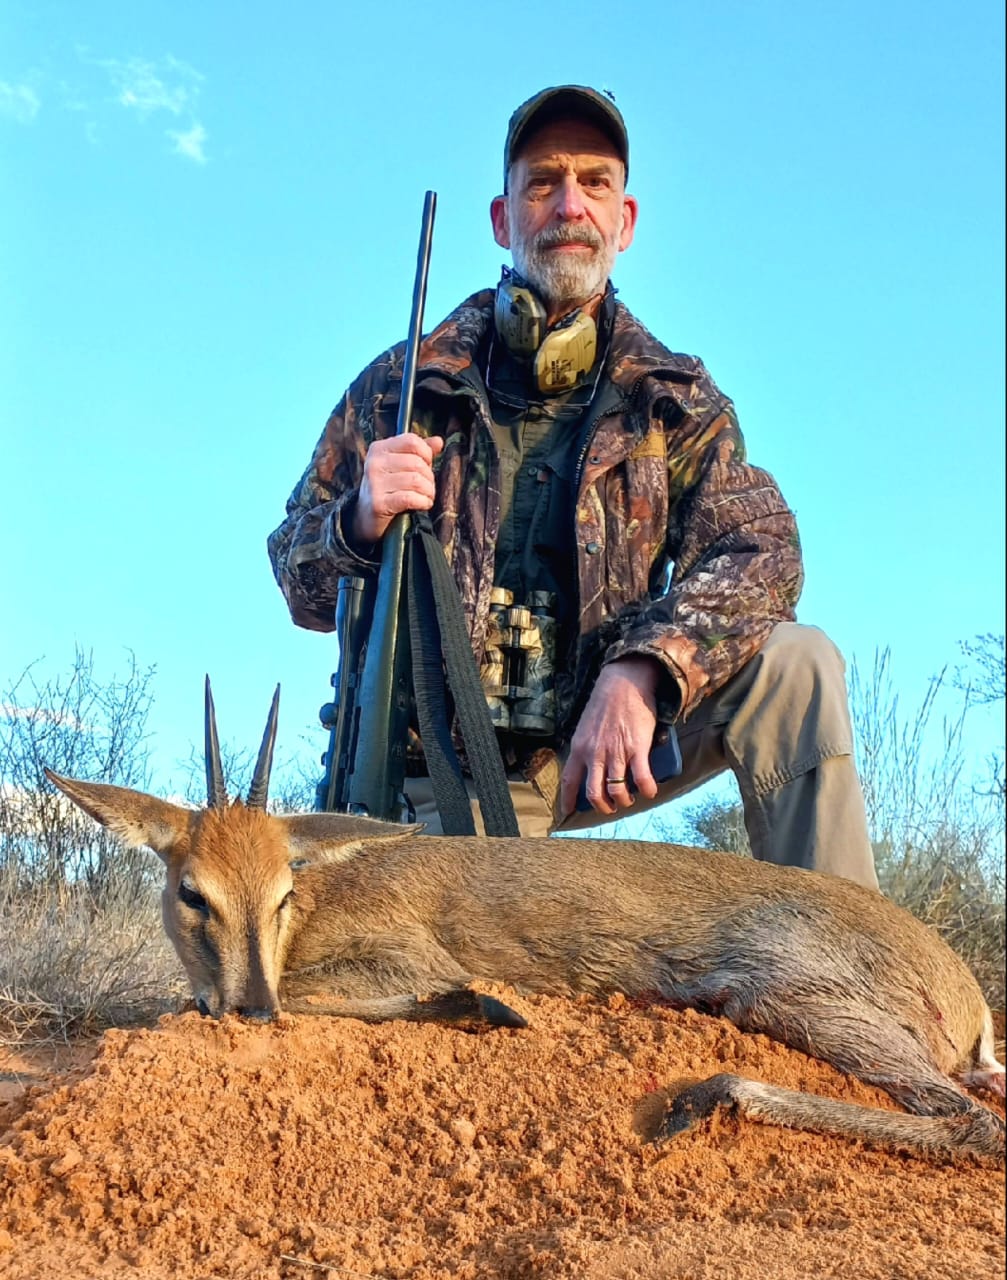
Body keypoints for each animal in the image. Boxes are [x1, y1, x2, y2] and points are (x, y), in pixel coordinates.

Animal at [49, 686, 1007, 1167]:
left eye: (284, 890)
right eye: (192, 892)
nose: (247, 1008)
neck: (319, 904)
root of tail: (965, 996)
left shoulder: (394, 957)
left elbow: (355, 994)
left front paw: (486, 1007)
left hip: (786, 998)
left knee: (973, 1125)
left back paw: (702, 1098)